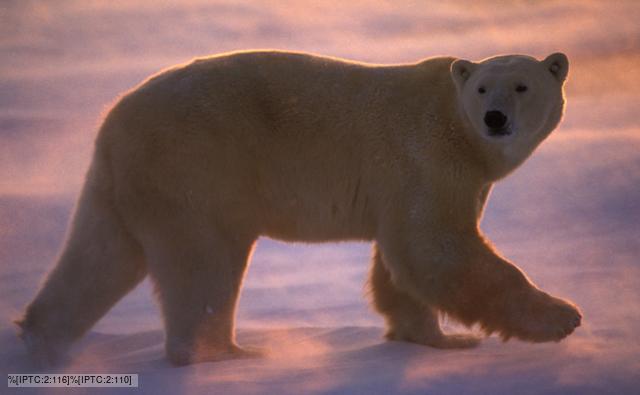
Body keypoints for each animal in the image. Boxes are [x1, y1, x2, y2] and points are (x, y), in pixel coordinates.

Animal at [18, 51, 580, 366]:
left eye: (522, 85)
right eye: (484, 87)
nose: (494, 117)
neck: (456, 124)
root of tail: (112, 120)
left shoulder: (424, 176)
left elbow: (402, 263)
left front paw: (433, 340)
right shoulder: (426, 154)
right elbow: (436, 248)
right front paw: (562, 317)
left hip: (123, 183)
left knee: (99, 256)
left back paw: (40, 340)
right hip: (196, 168)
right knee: (203, 265)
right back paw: (226, 355)